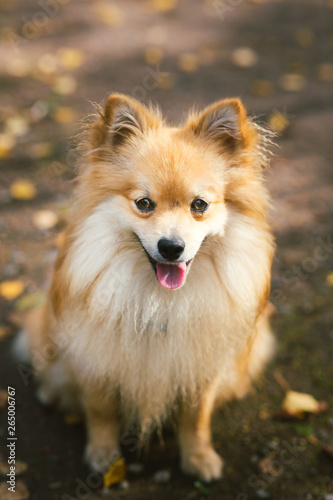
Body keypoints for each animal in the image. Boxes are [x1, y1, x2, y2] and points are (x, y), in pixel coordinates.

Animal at [18, 93, 274, 480]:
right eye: (144, 203)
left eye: (199, 205)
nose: (171, 246)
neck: (158, 301)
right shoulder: (97, 357)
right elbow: (101, 412)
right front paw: (103, 455)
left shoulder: (200, 364)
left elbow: (196, 417)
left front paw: (199, 457)